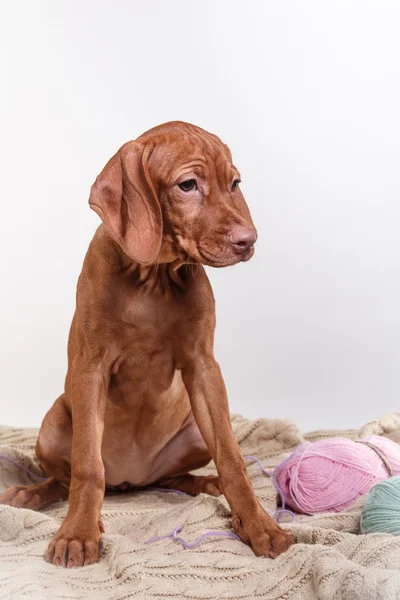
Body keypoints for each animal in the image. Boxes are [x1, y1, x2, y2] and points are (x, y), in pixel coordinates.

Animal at [0, 122, 294, 568]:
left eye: (234, 183)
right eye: (188, 185)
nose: (249, 240)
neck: (153, 278)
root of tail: (131, 479)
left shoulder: (203, 367)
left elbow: (232, 458)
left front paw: (259, 525)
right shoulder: (90, 368)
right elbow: (87, 467)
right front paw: (77, 533)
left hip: (193, 435)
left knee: (177, 475)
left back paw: (206, 484)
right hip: (53, 425)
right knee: (65, 477)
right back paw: (31, 493)